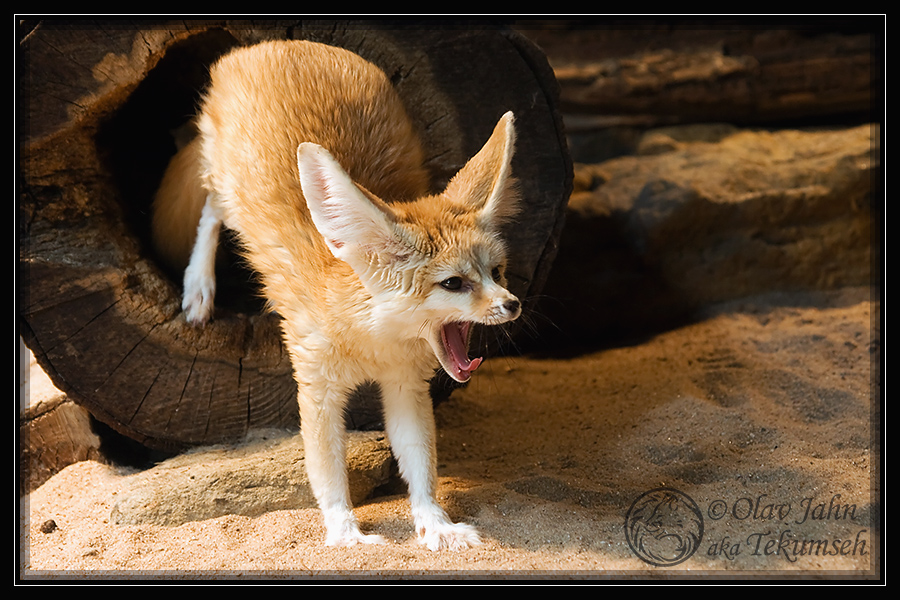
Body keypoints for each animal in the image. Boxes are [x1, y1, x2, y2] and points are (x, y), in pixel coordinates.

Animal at [152, 39, 524, 552]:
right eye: (453, 283)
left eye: (496, 271)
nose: (513, 304)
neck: (372, 342)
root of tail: (278, 44)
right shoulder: (316, 388)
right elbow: (327, 469)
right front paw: (344, 529)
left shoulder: (405, 386)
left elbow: (419, 459)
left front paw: (435, 523)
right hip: (227, 187)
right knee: (210, 212)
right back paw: (198, 287)